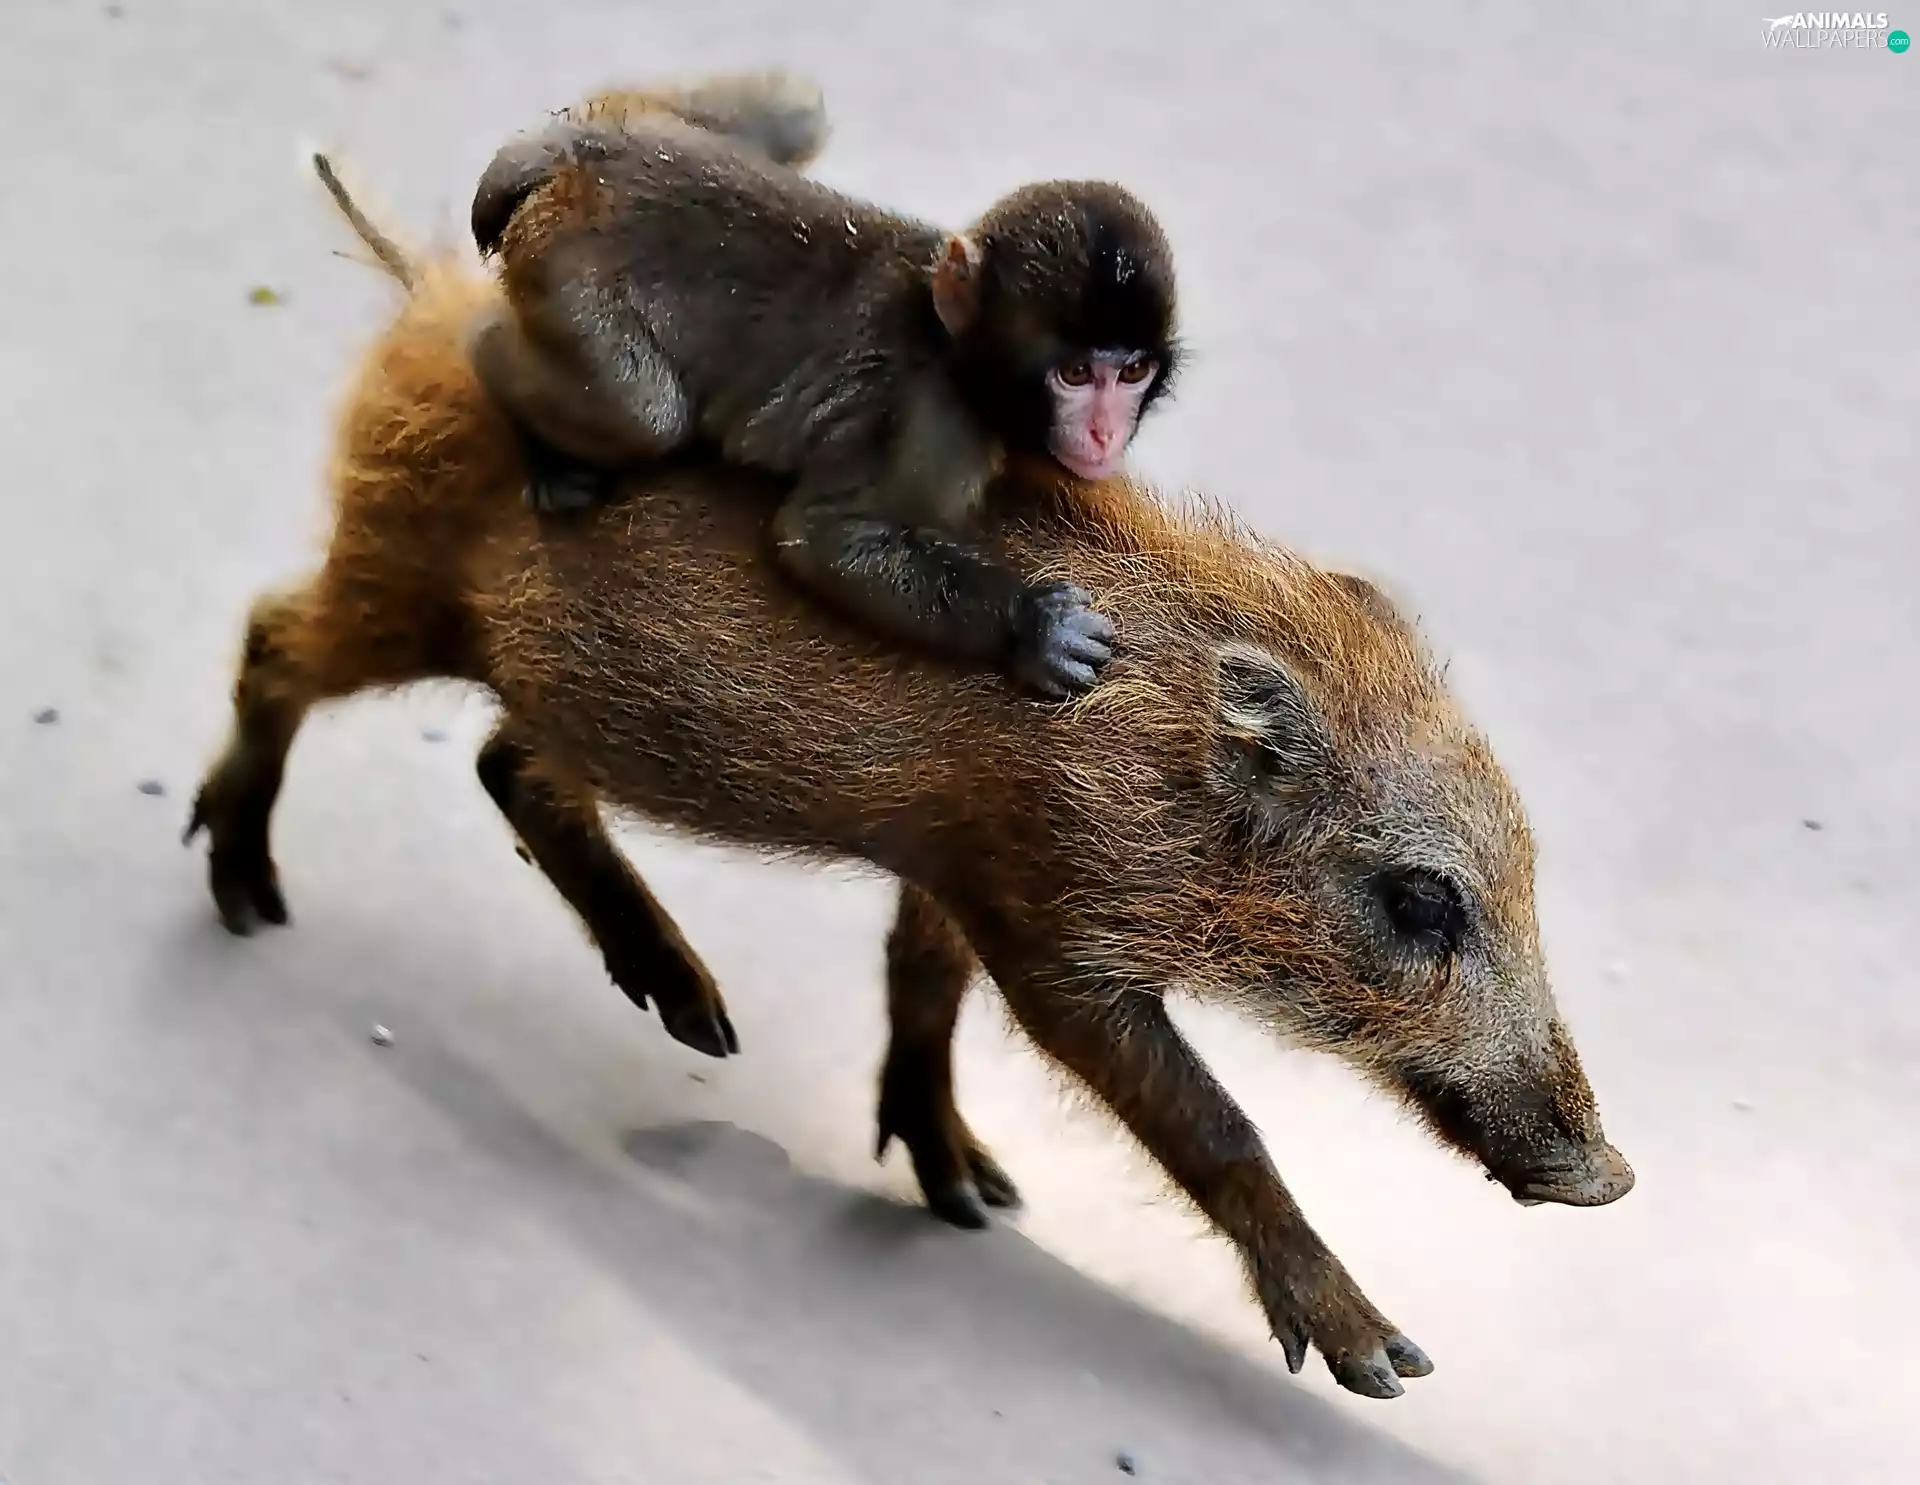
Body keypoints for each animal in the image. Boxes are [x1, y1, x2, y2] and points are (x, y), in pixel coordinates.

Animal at [463, 72, 1182, 700]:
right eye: (1075, 375)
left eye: (1133, 372)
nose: (1104, 433)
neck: (951, 348)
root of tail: (582, 163)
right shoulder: (935, 427)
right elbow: (822, 537)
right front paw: (1032, 624)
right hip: (565, 270)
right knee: (640, 411)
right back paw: (504, 377)